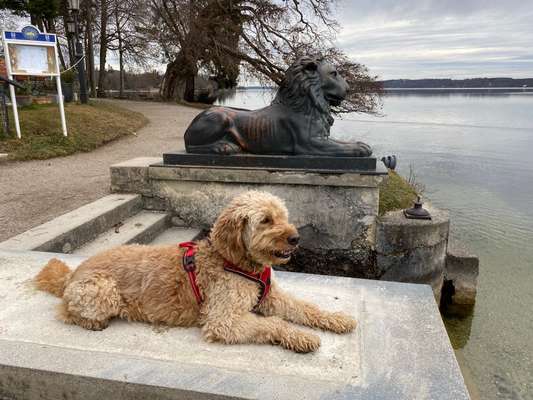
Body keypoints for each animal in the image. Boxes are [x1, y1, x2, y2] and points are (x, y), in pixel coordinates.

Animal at [35, 192, 356, 352]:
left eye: (283, 216)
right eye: (265, 220)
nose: (295, 238)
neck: (237, 261)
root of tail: (73, 273)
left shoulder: (270, 296)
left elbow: (305, 307)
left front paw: (337, 319)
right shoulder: (223, 319)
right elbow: (274, 324)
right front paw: (302, 337)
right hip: (103, 291)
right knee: (66, 312)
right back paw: (92, 323)